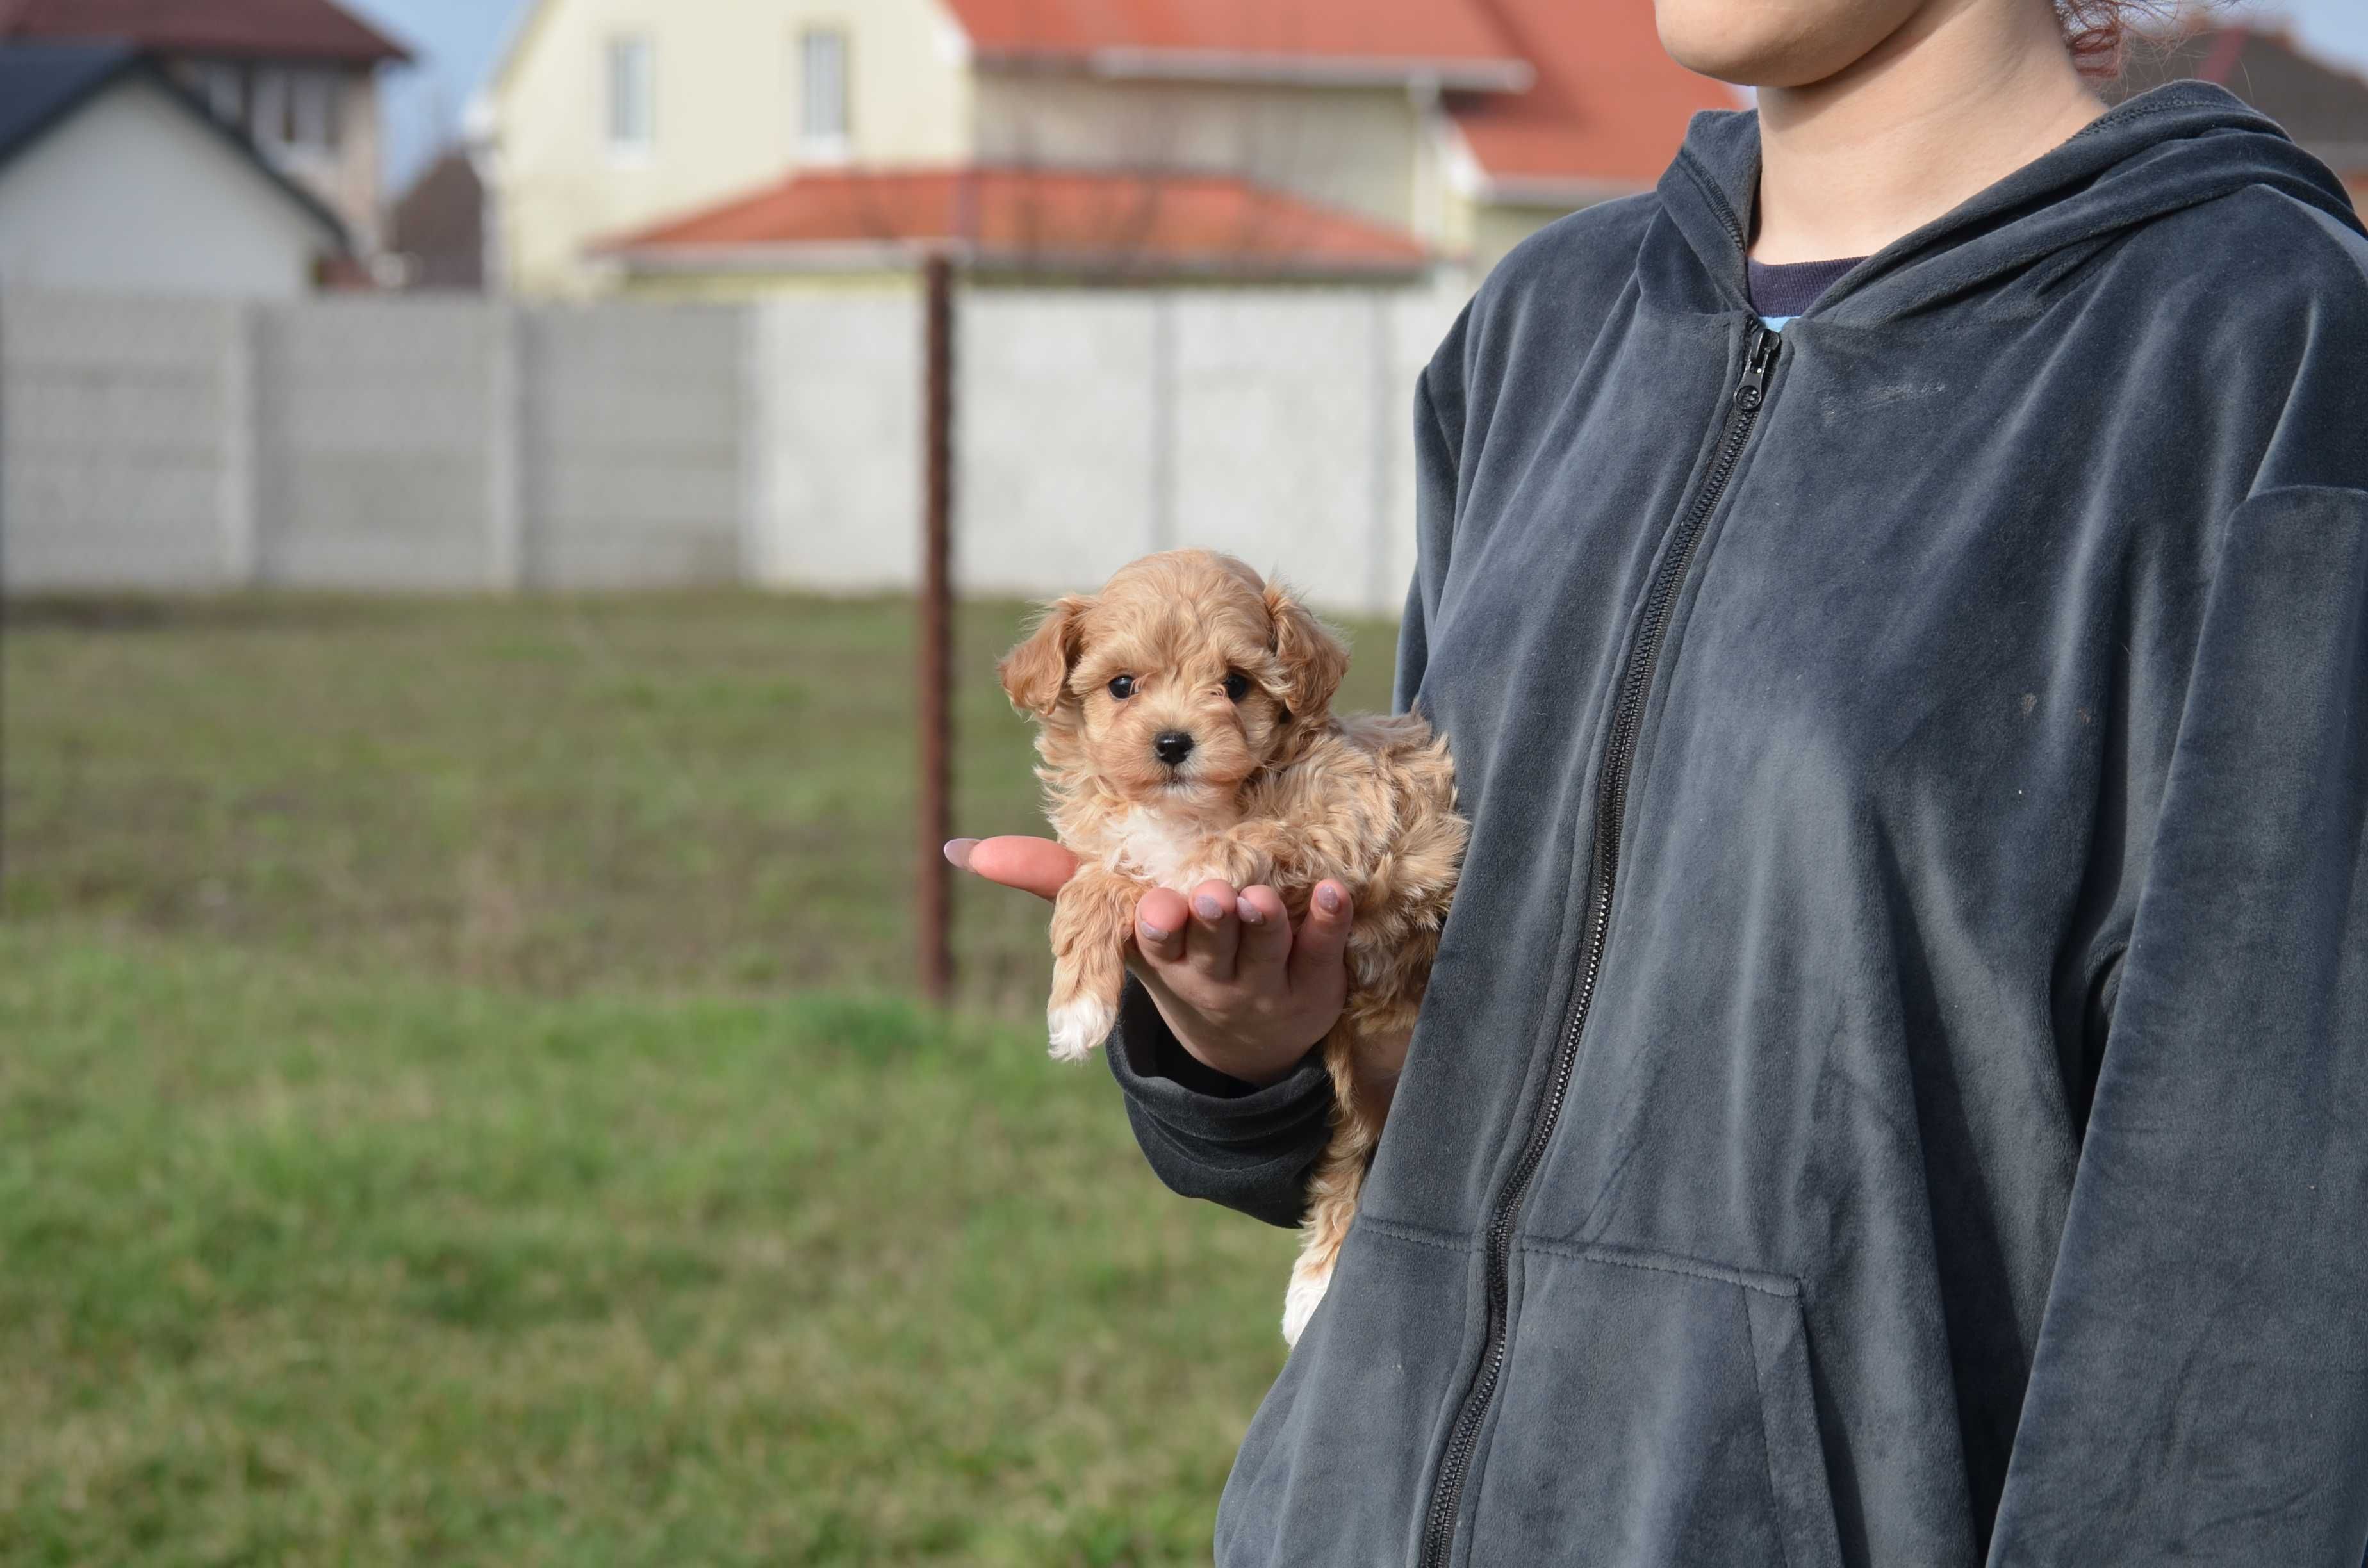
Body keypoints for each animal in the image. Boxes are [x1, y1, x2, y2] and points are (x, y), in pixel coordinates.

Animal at [999, 547, 1458, 1345]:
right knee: (1349, 1155)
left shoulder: (1350, 819)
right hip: (1354, 1069)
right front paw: (1078, 1003)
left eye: (1237, 684)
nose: (1173, 742)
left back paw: (1312, 1289)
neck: (1194, 808)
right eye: (1123, 686)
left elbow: (1236, 844)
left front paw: (1188, 877)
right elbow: (1095, 884)